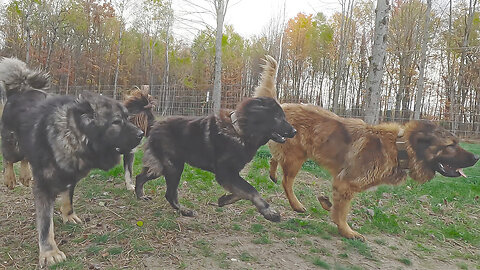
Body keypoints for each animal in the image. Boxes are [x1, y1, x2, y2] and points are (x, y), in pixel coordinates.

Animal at [0, 57, 143, 266]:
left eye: (127, 117)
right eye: (116, 122)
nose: (141, 134)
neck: (73, 136)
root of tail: (20, 89)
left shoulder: (71, 175)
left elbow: (68, 197)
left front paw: (69, 216)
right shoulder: (44, 187)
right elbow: (45, 225)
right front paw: (50, 252)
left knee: (26, 158)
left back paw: (25, 176)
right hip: (13, 144)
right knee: (9, 159)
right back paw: (10, 178)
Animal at [256, 55, 478, 240]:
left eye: (457, 143)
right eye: (450, 146)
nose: (476, 158)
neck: (399, 148)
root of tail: (282, 107)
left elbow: (337, 207)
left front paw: (328, 206)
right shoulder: (345, 183)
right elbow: (342, 212)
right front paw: (346, 231)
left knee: (275, 159)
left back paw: (273, 174)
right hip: (296, 157)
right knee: (287, 181)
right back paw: (296, 204)